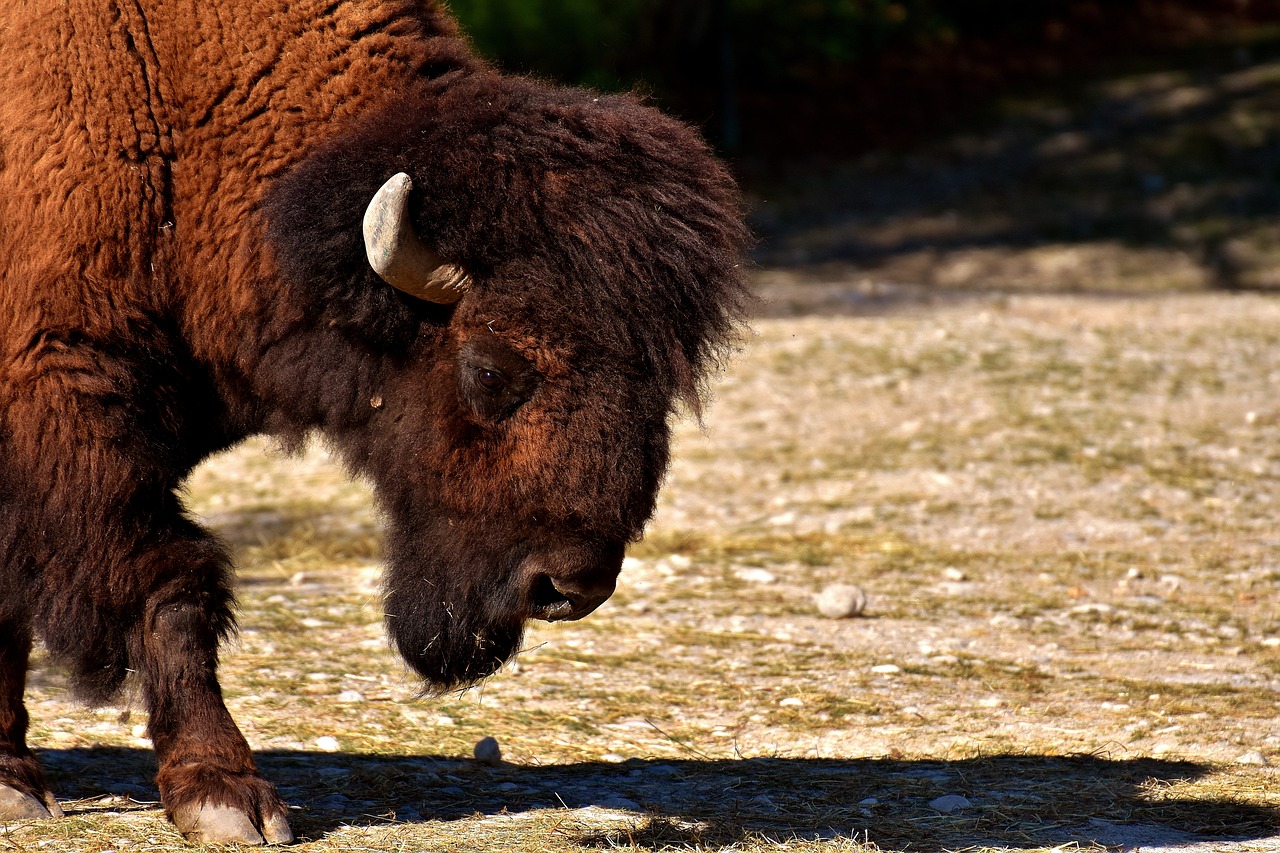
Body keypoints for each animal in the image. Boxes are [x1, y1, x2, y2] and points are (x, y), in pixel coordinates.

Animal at [0, 0, 747, 835]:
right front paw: (226, 795)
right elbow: (168, 585)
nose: (568, 587)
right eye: (489, 368)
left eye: (661, 383)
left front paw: (15, 781)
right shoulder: (70, 407)